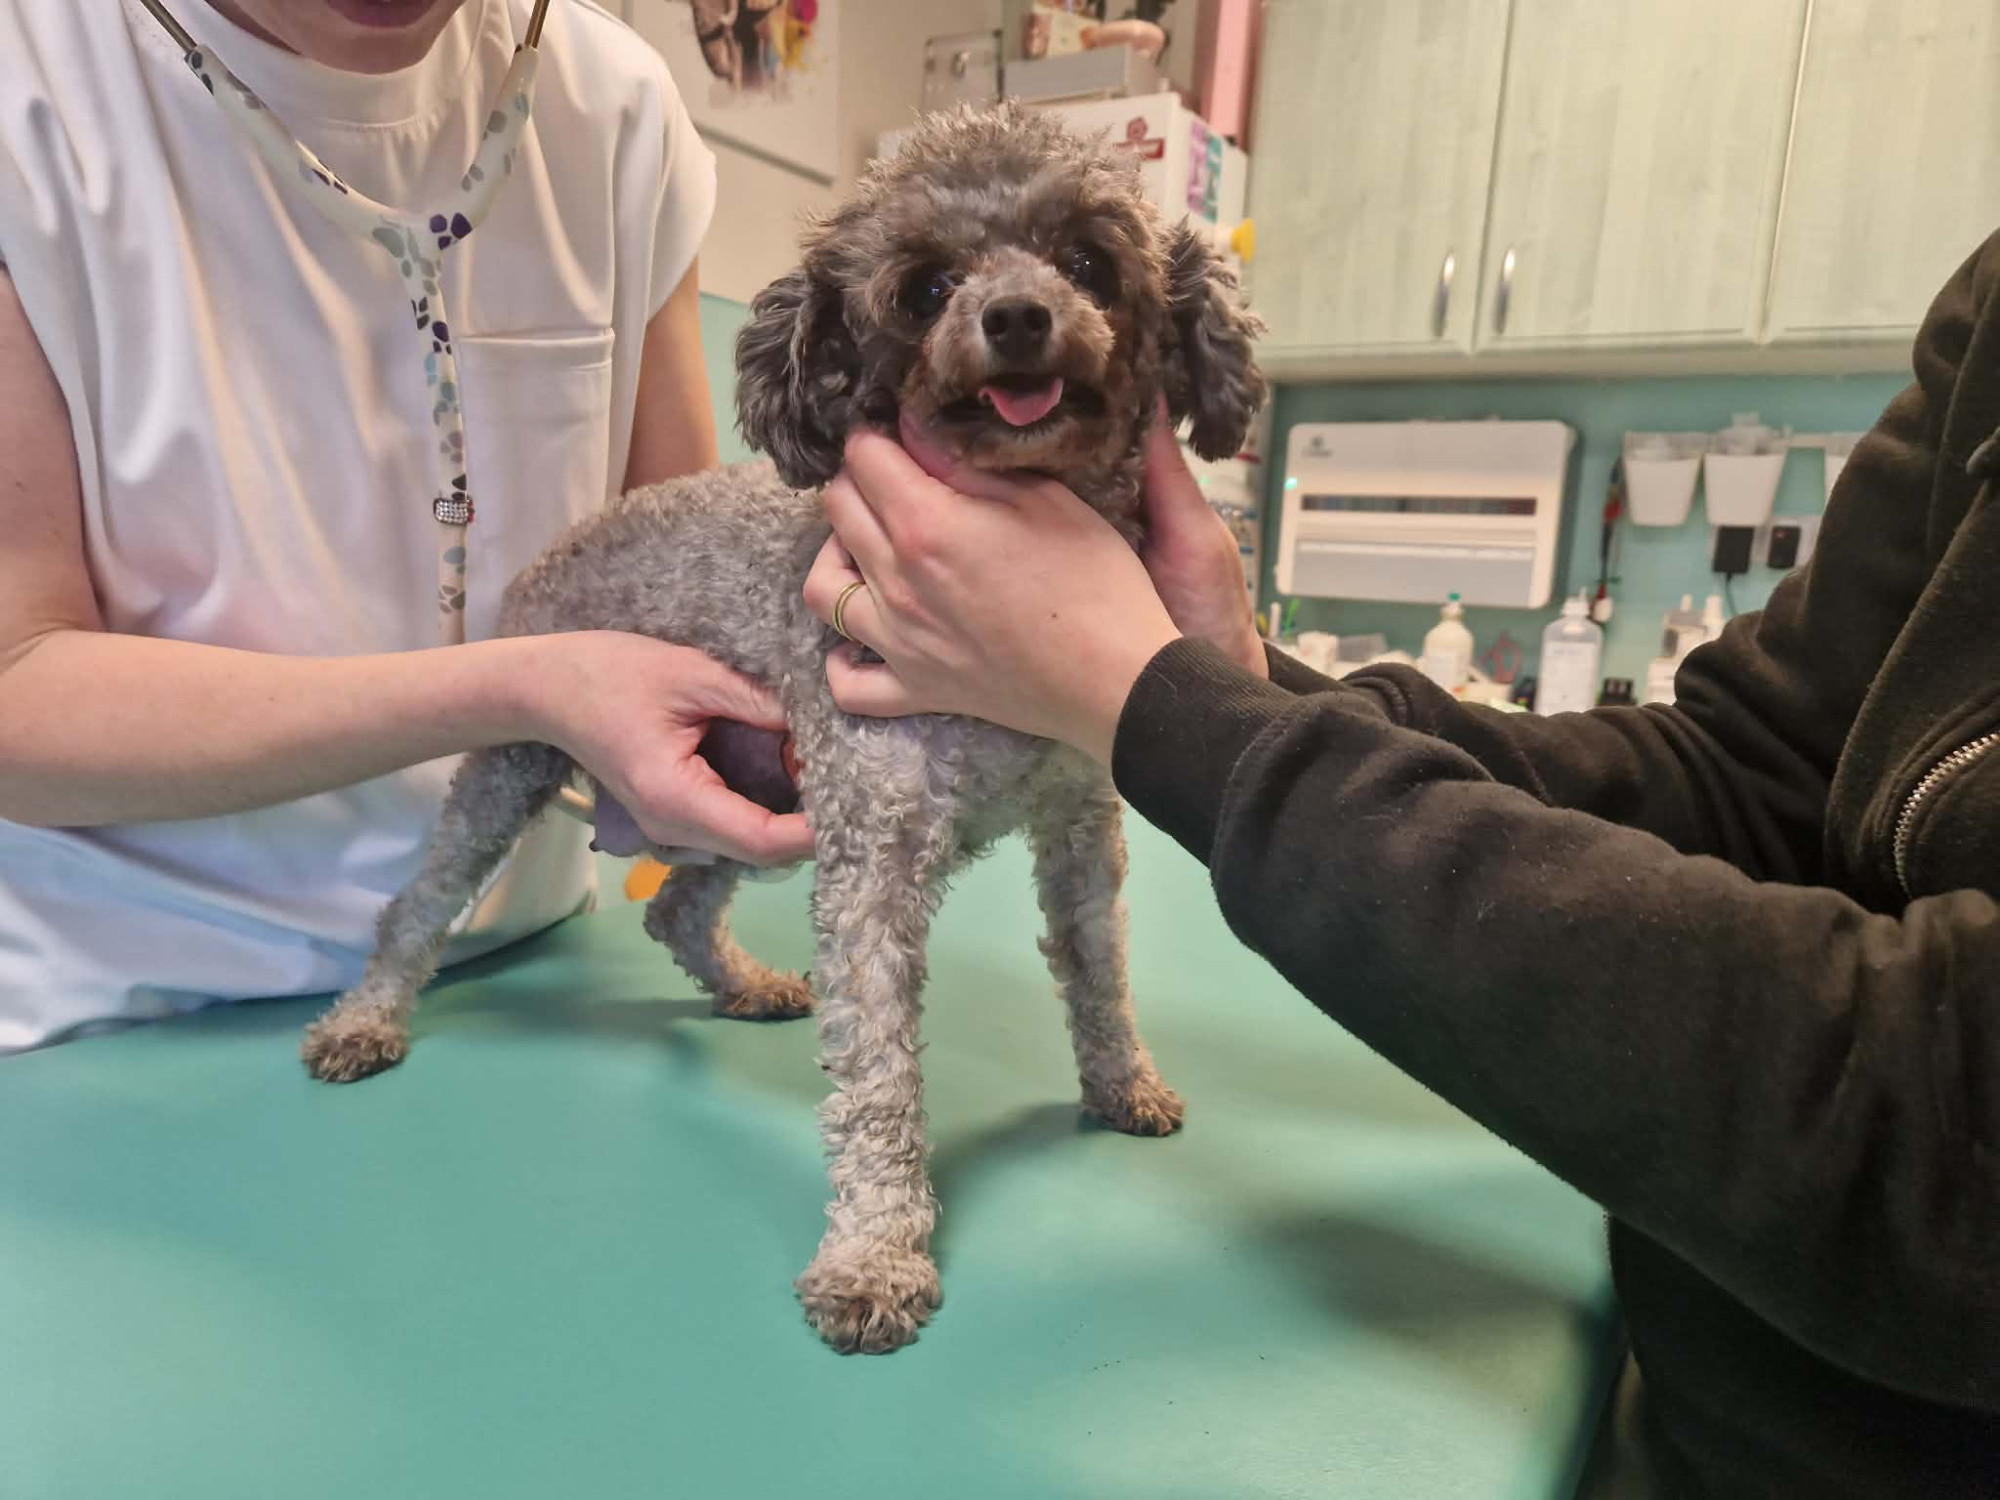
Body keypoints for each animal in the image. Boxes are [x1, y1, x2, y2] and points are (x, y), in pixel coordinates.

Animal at [299, 103, 1264, 1354]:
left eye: (1090, 262)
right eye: (923, 287)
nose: (1014, 315)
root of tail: (568, 538)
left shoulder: (1076, 821)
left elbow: (1096, 966)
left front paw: (1119, 1081)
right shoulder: (873, 855)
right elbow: (879, 1078)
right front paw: (874, 1254)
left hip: (748, 791)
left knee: (674, 909)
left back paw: (742, 982)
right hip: (522, 766)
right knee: (417, 904)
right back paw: (366, 1017)